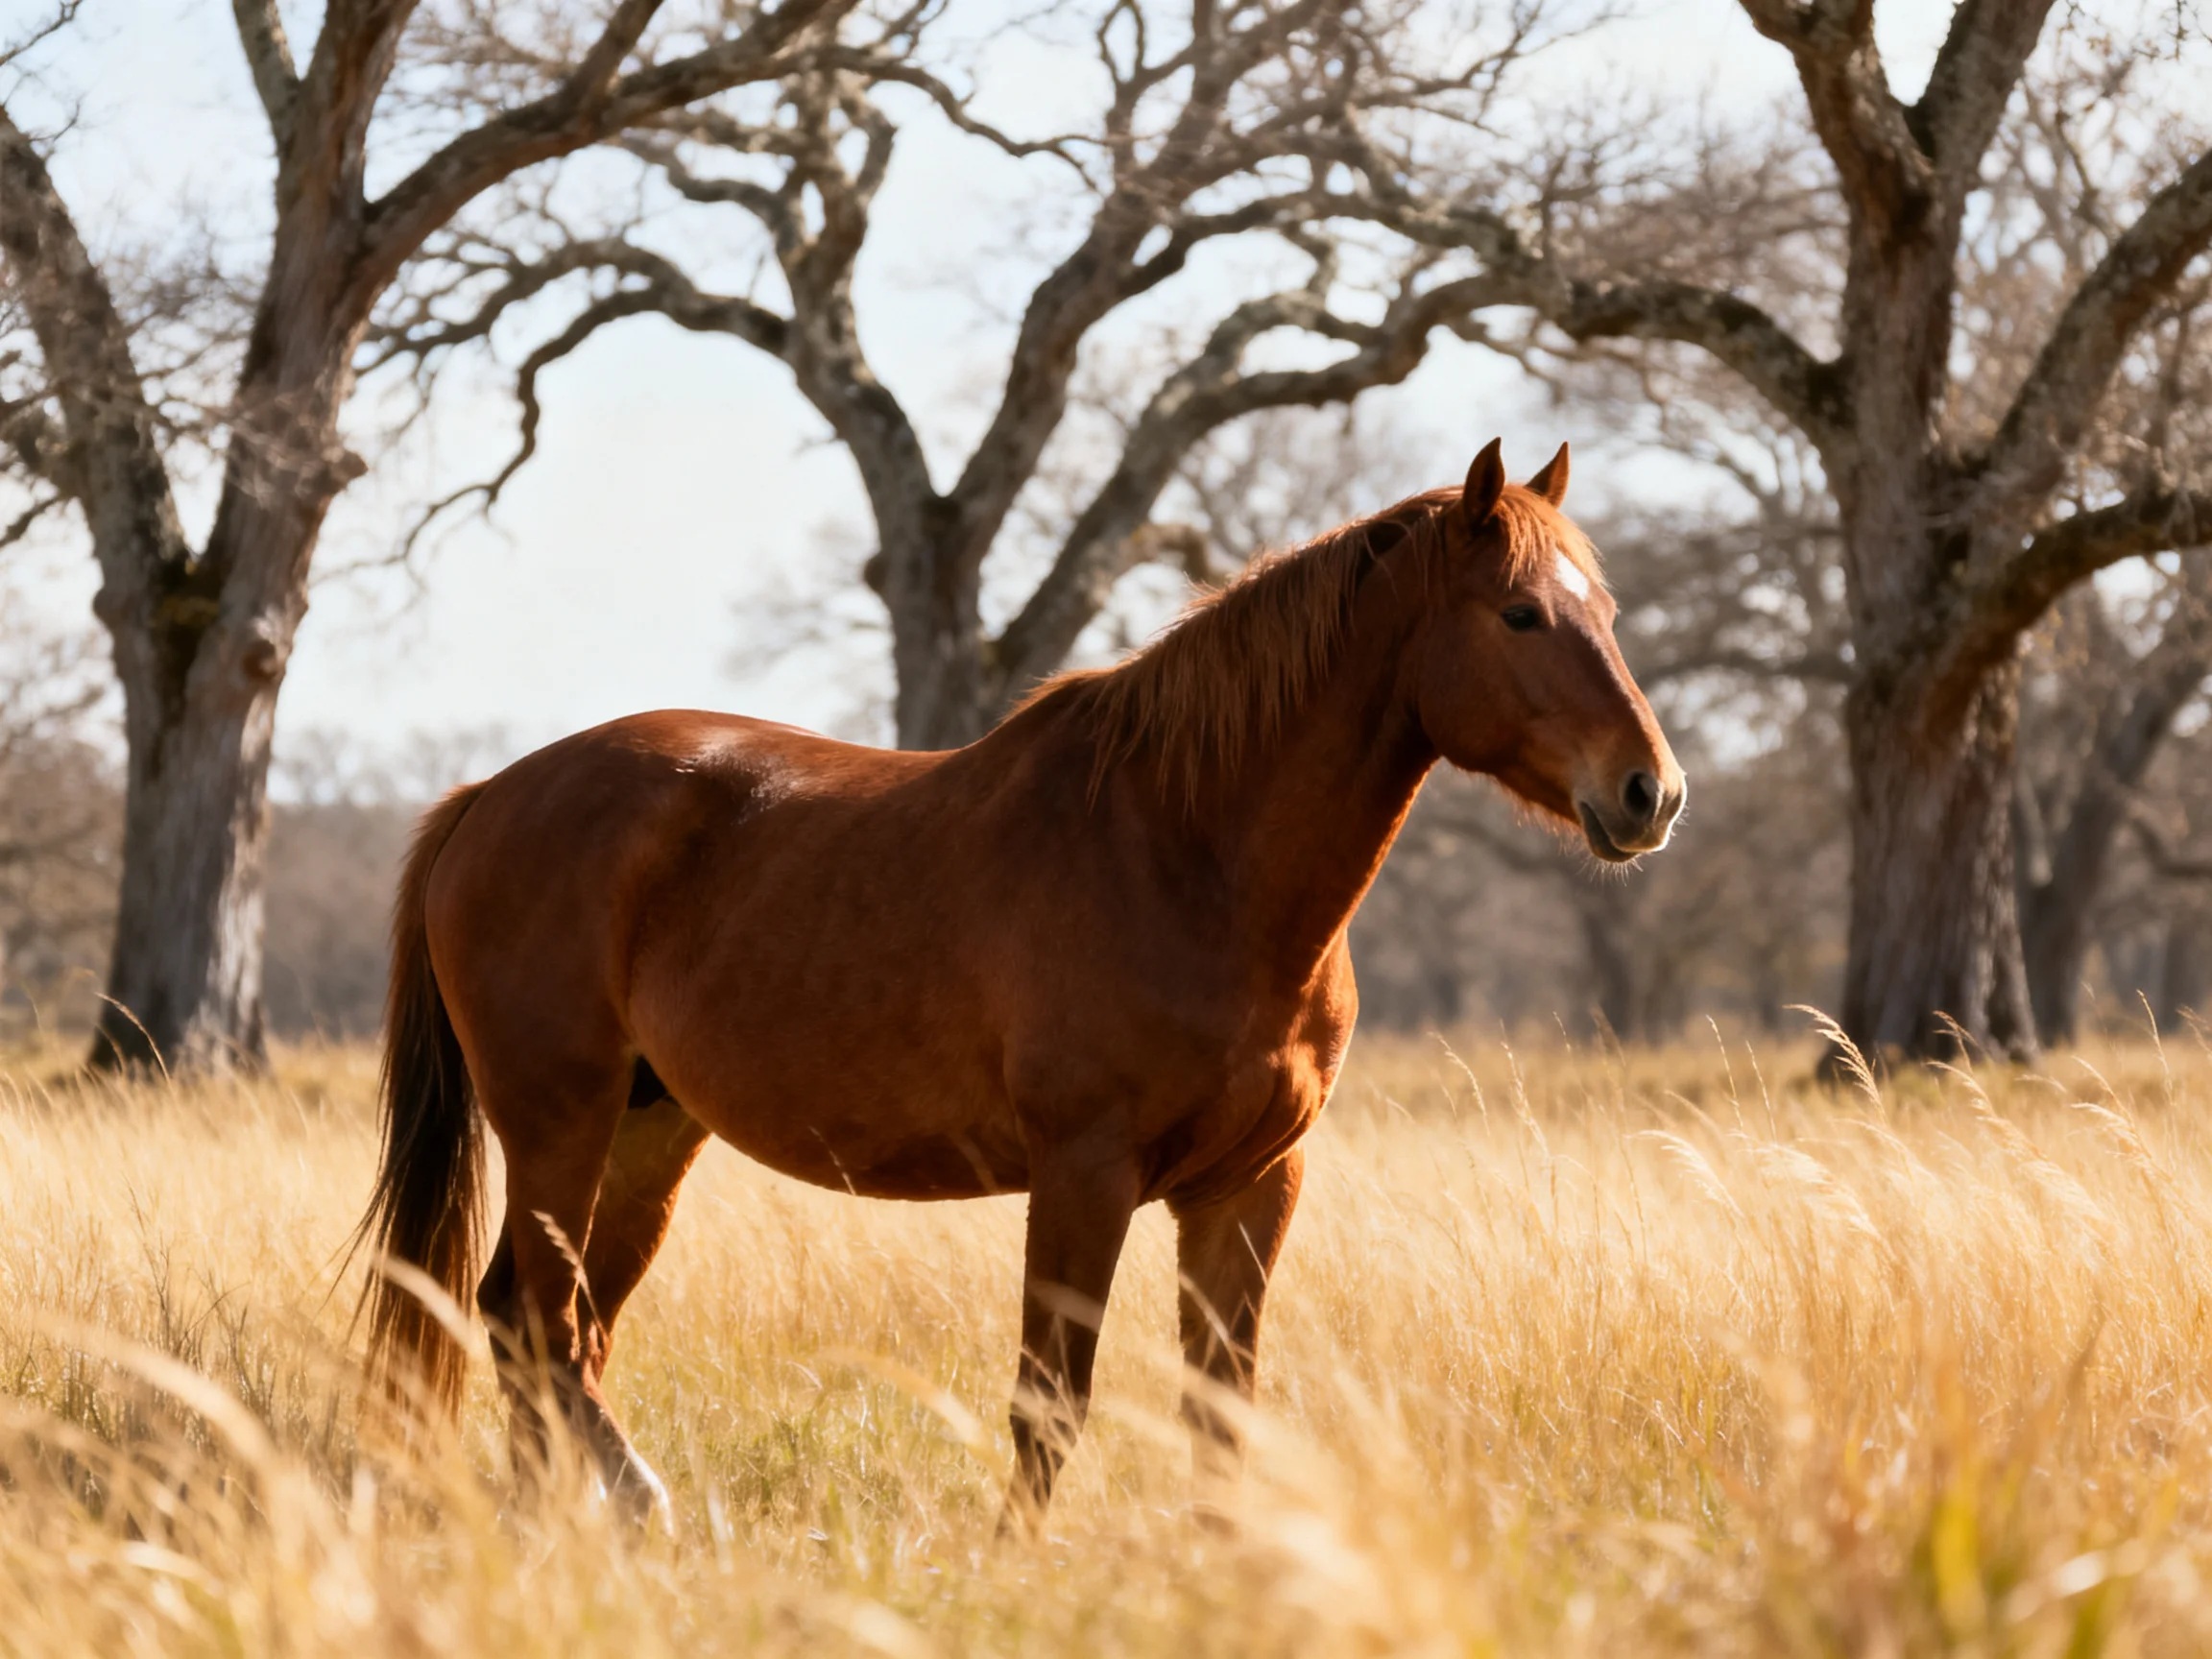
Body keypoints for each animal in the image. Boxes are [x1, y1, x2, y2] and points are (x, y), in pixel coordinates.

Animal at [357, 438, 1684, 1528]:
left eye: (1606, 610)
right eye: (1520, 614)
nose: (1650, 793)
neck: (1189, 853)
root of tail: (487, 798)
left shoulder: (1252, 1186)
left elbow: (1221, 1409)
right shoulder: (1083, 1174)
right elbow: (1051, 1404)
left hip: (649, 1132)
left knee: (546, 1328)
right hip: (560, 1125)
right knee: (535, 1322)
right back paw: (643, 1509)